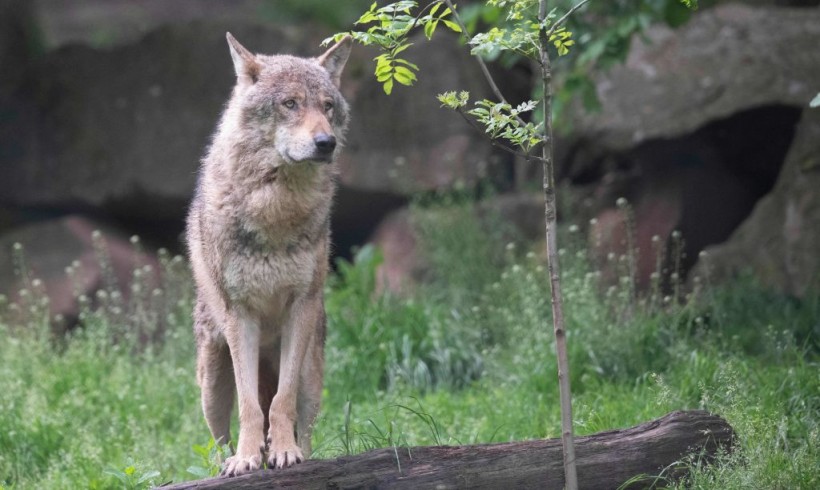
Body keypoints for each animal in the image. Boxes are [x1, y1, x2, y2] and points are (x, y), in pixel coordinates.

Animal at [184, 32, 350, 476]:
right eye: (290, 103)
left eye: (327, 106)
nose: (326, 143)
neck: (276, 209)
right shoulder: (240, 314)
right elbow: (250, 407)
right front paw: (246, 459)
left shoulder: (301, 307)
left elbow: (280, 402)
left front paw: (284, 453)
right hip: (211, 385)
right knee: (218, 438)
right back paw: (232, 460)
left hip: (313, 375)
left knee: (302, 421)